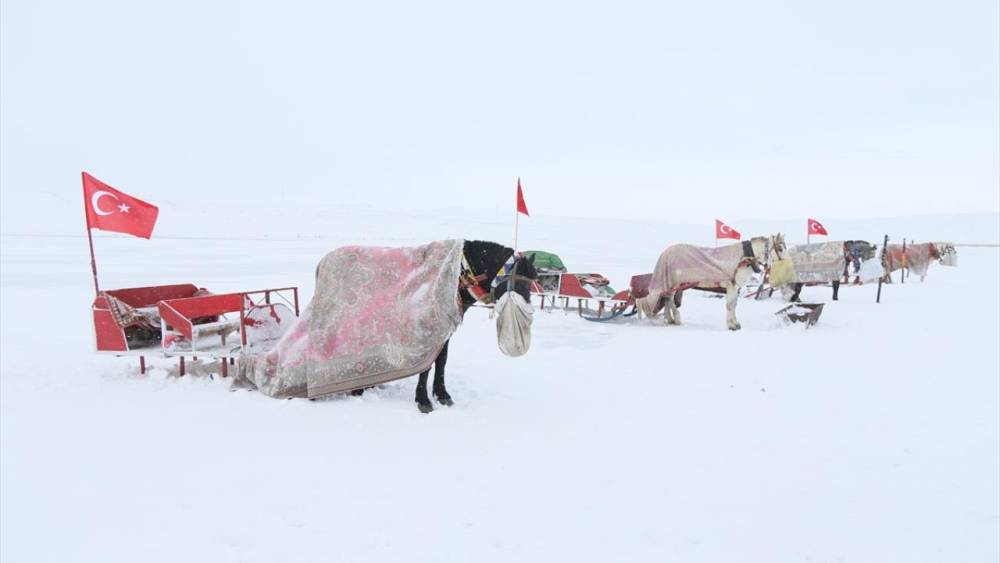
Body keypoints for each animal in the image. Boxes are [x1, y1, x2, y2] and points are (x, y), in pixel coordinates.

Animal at [354, 241, 540, 414]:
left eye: (531, 283)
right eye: (520, 283)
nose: (529, 310)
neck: (459, 275)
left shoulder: (445, 331)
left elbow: (442, 360)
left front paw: (442, 394)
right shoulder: (428, 331)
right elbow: (427, 365)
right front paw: (423, 399)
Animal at [636, 234, 784, 330]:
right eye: (780, 248)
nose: (786, 264)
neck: (744, 258)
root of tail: (665, 252)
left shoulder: (735, 287)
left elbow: (734, 305)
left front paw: (736, 324)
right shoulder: (731, 285)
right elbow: (730, 305)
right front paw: (731, 325)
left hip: (673, 284)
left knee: (667, 299)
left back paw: (670, 319)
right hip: (673, 283)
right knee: (667, 300)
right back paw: (675, 319)